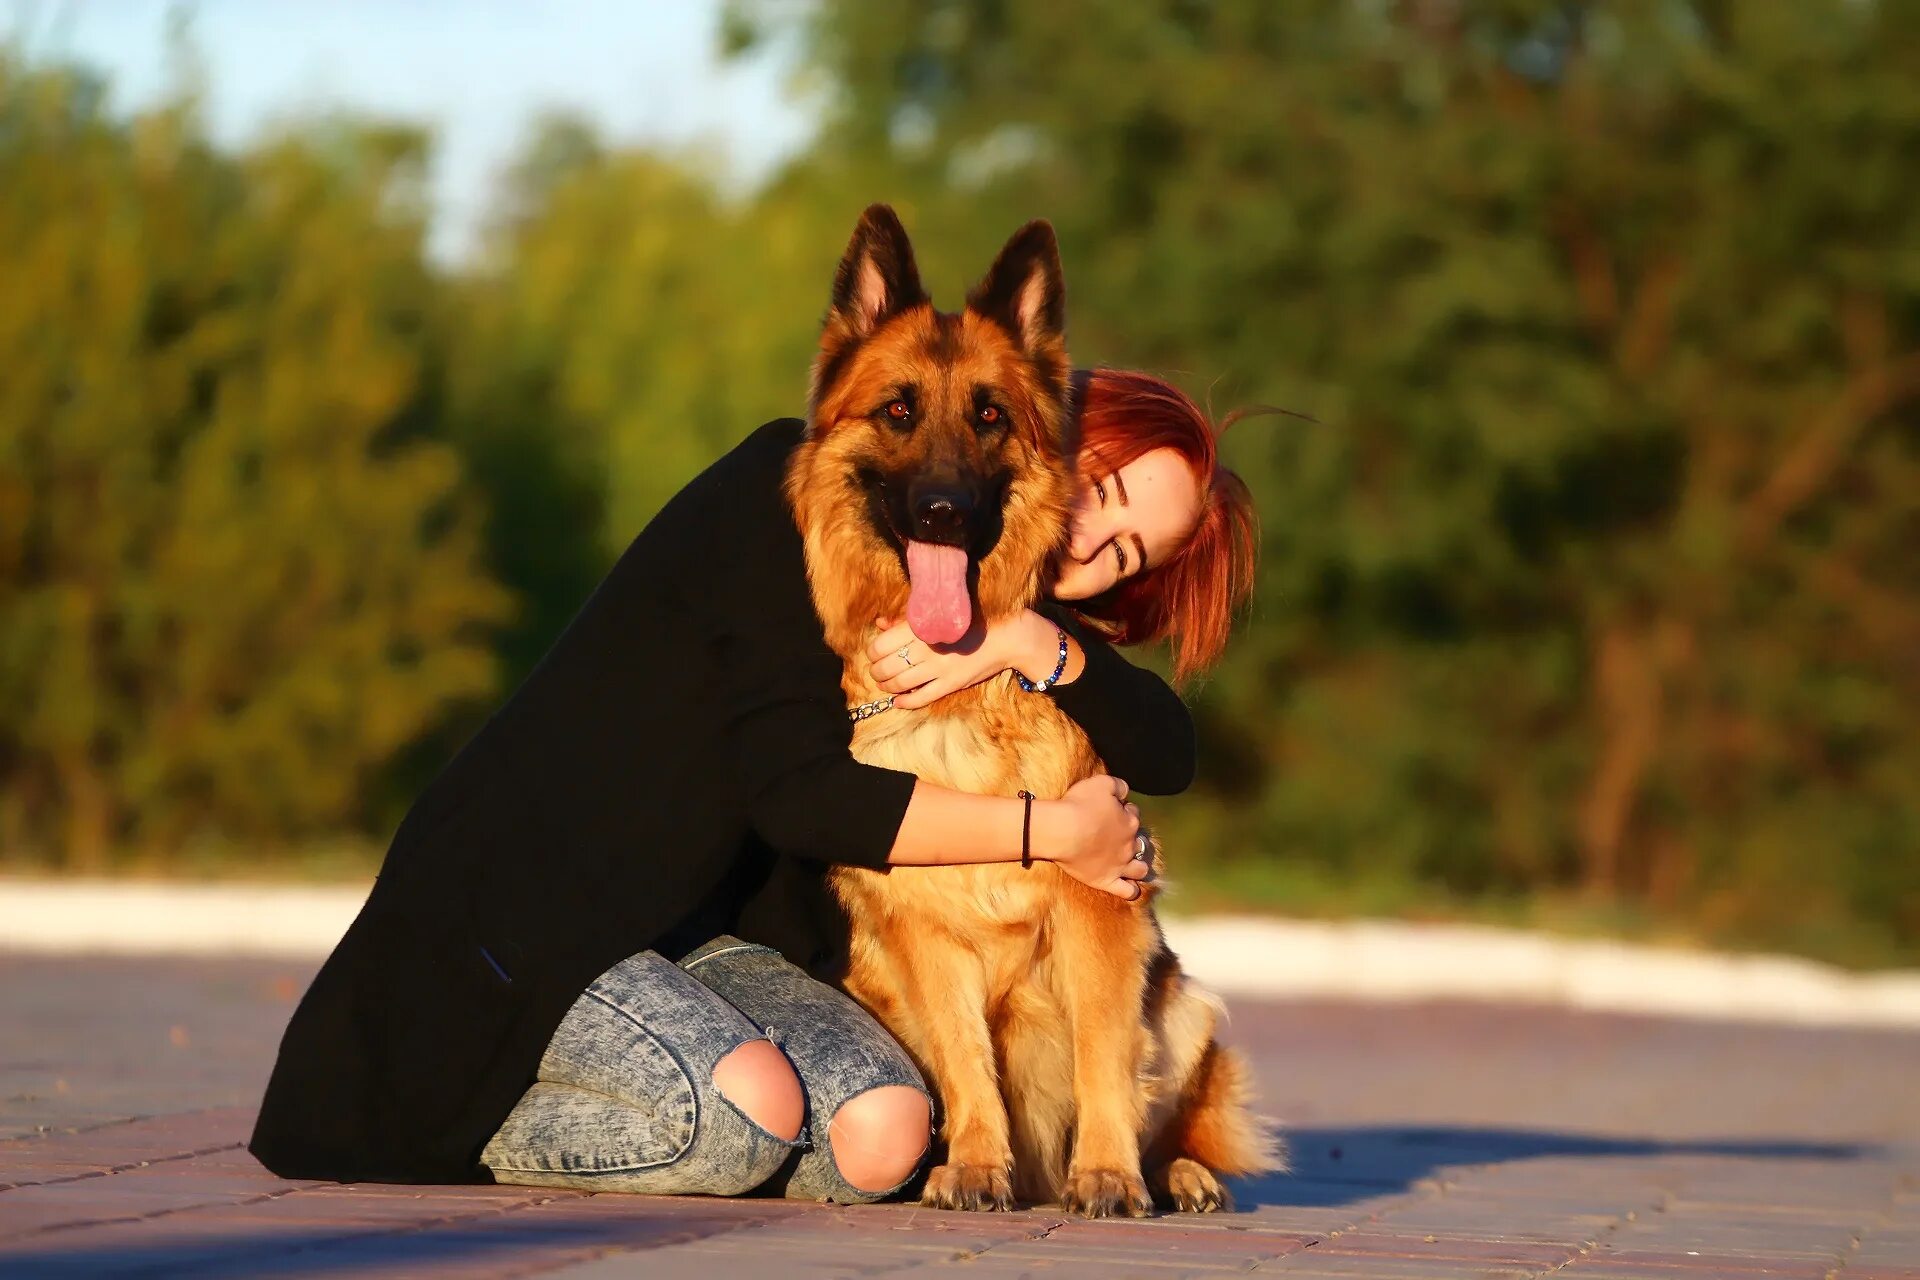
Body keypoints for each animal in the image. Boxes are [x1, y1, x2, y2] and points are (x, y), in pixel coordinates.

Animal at [779, 205, 1274, 1220]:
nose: (940, 511)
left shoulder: (1098, 914)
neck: (967, 698)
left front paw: (1109, 1176)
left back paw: (1174, 1174)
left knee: (1166, 1106)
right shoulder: (926, 932)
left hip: (1184, 1006)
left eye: (991, 417)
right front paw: (973, 1165)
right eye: (898, 411)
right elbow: (969, 1060)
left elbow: (1102, 1057)